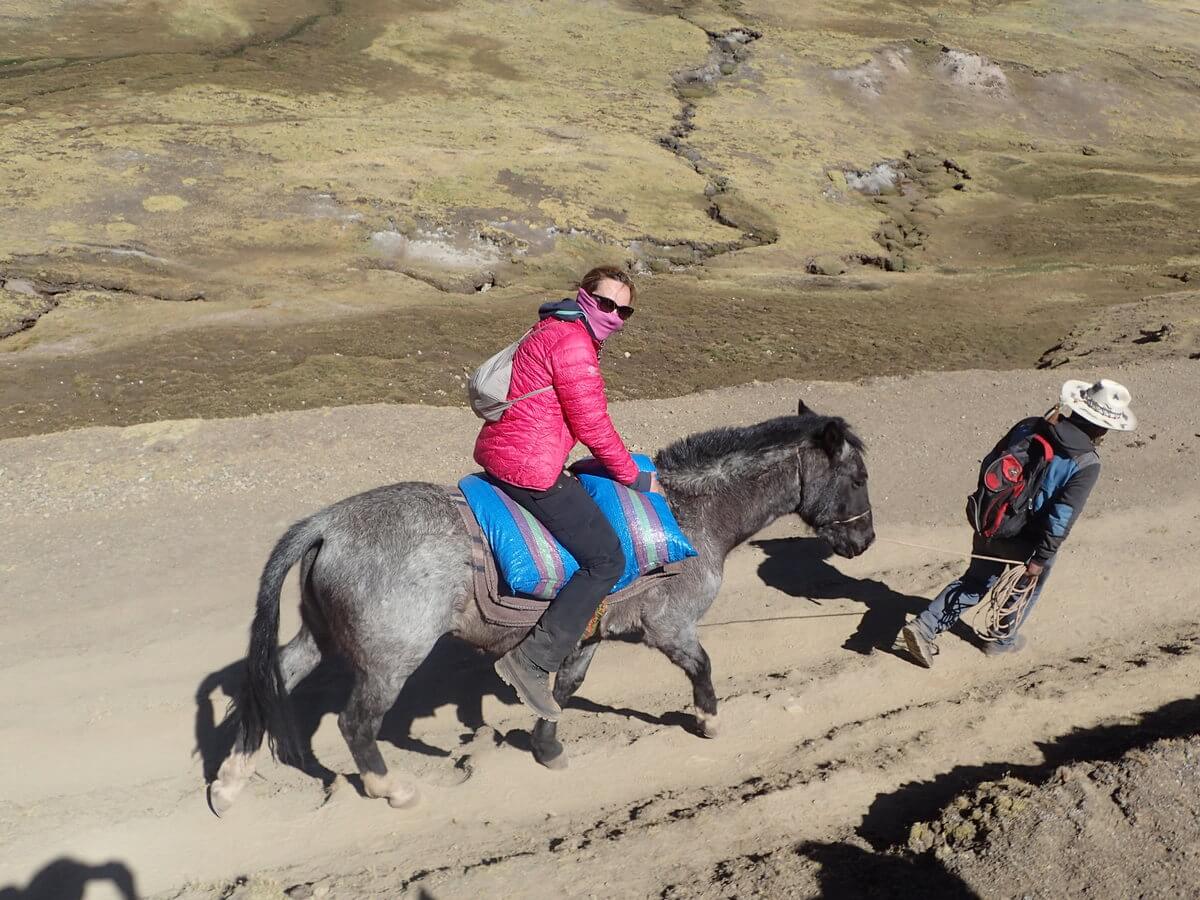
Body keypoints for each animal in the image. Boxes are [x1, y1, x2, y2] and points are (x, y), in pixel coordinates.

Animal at [211, 400, 878, 811]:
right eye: (858, 479)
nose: (864, 541)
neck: (690, 515)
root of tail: (325, 526)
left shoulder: (587, 631)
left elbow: (563, 687)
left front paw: (546, 745)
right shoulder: (669, 625)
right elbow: (702, 667)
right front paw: (710, 721)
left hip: (320, 636)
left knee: (271, 678)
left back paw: (232, 777)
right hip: (390, 658)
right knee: (355, 724)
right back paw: (388, 787)